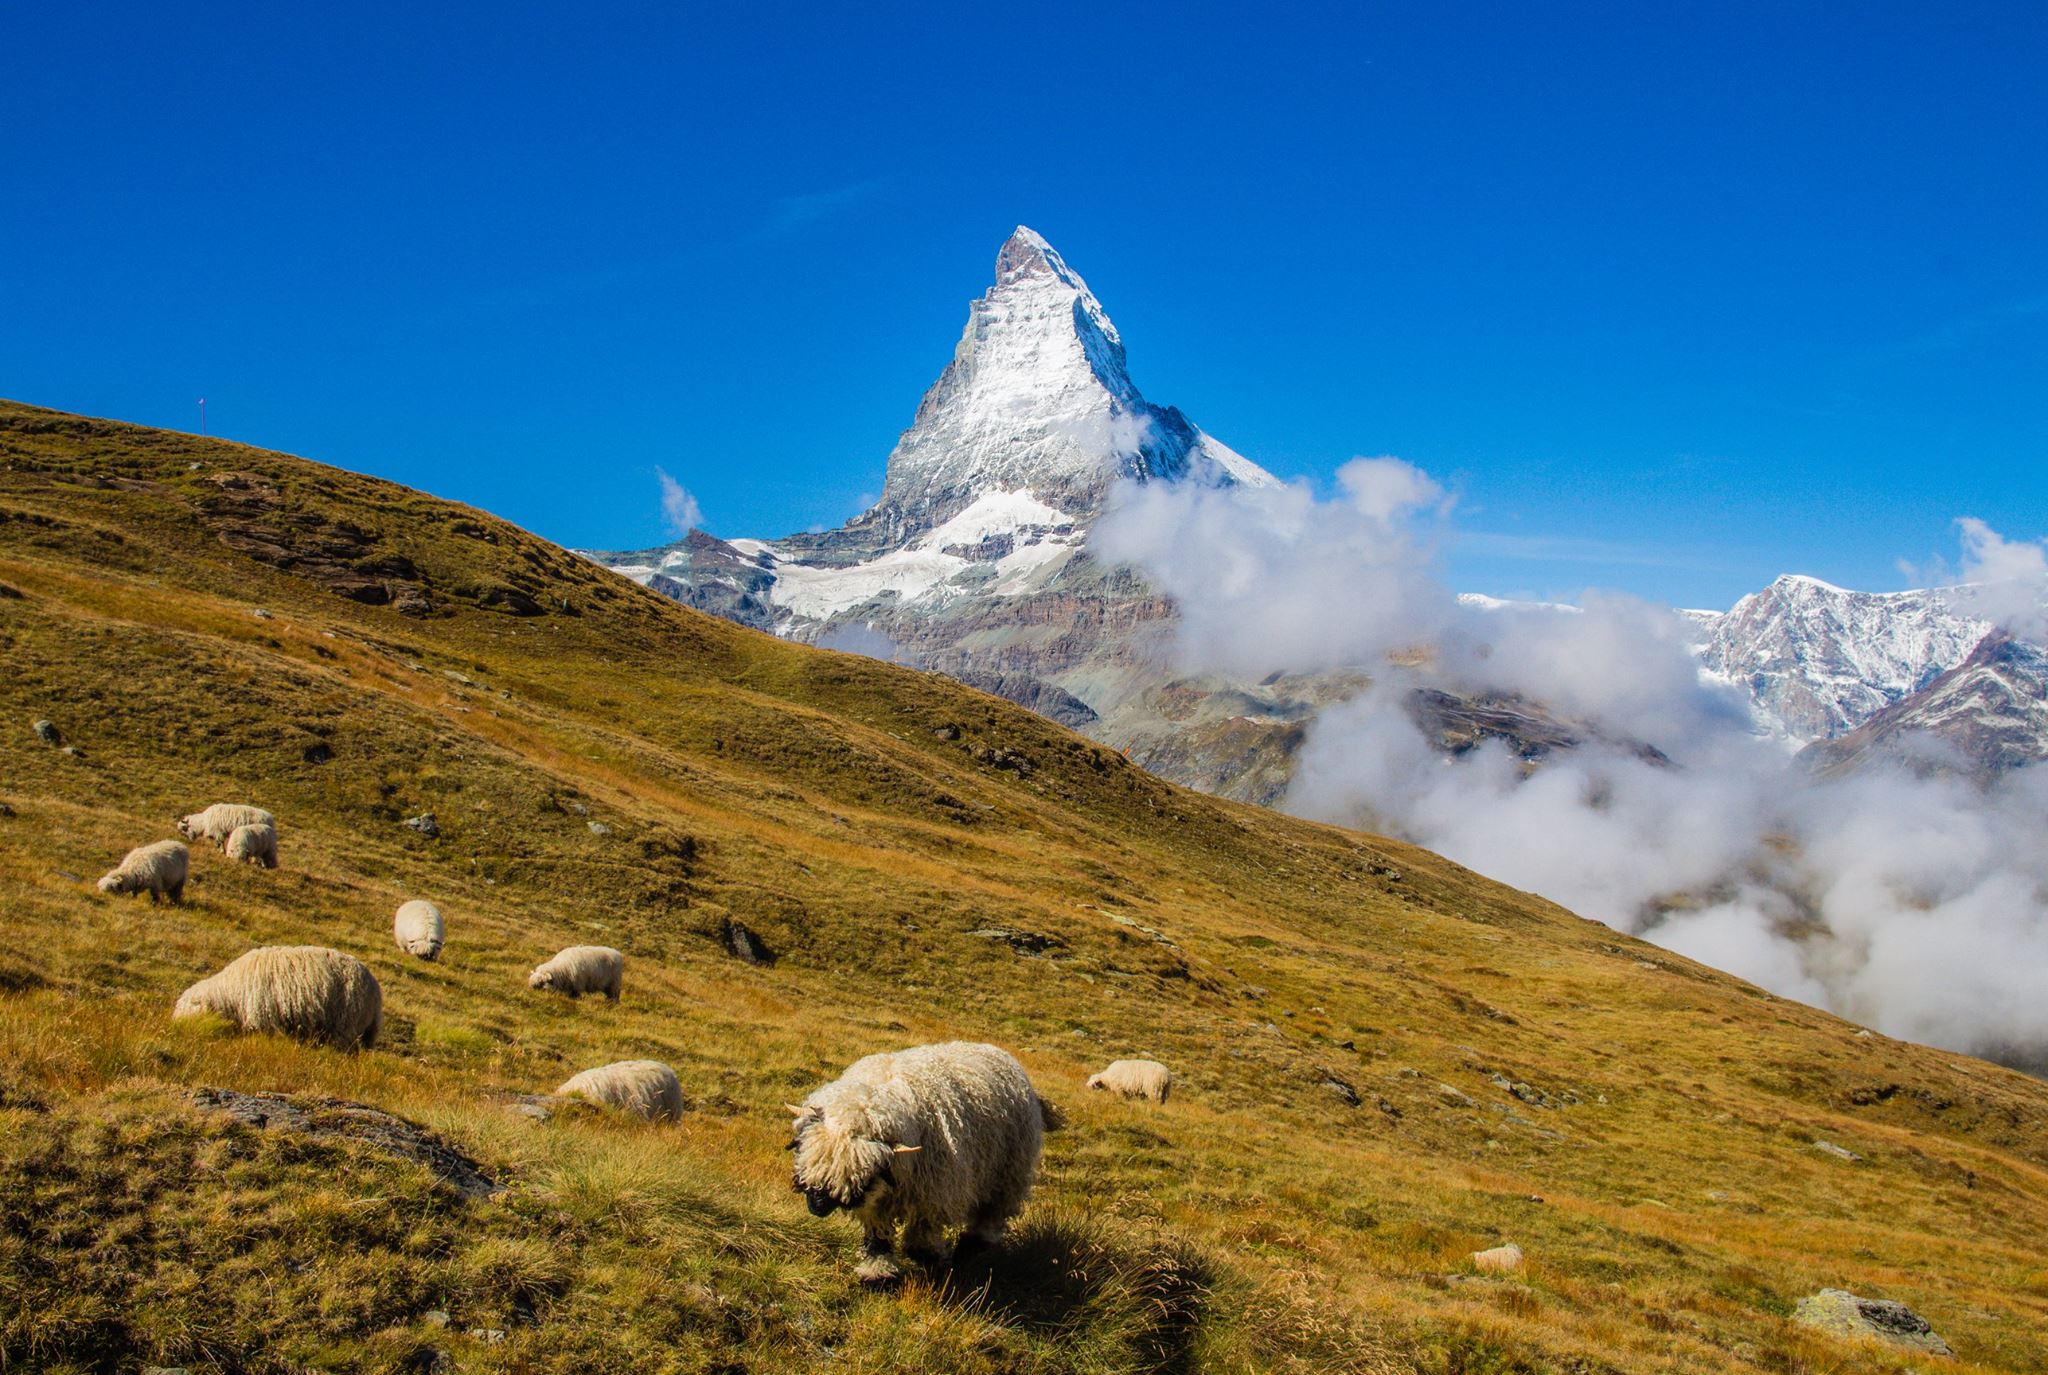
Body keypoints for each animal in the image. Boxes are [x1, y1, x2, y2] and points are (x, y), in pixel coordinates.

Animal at [173, 946, 385, 1057]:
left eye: (187, 1010)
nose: (177, 1027)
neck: (230, 994)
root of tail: (375, 990)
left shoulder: (263, 1018)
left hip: (345, 1022)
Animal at [786, 1045, 1064, 1295]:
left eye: (863, 1175)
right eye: (801, 1148)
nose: (817, 1205)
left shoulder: (934, 1196)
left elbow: (921, 1240)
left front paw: (936, 1260)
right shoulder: (876, 1202)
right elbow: (877, 1238)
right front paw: (878, 1274)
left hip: (1008, 1175)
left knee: (990, 1216)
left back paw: (967, 1250)